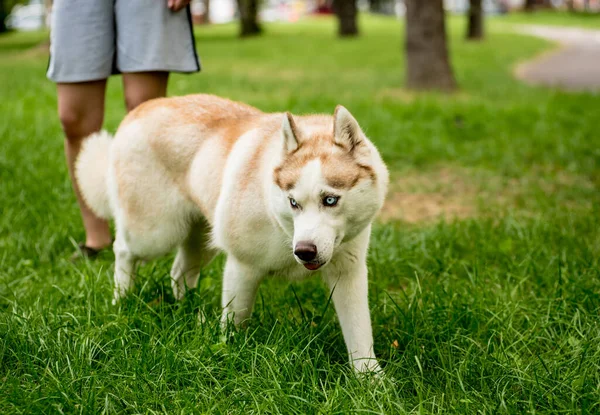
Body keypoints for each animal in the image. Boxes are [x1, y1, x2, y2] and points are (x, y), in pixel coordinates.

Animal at [77, 95, 390, 374]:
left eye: (330, 200)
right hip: (155, 233)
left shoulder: (348, 272)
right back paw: (122, 299)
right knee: (123, 250)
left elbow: (360, 331)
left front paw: (370, 379)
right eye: (293, 202)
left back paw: (187, 307)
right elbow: (235, 321)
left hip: (201, 239)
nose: (303, 251)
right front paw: (230, 354)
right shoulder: (243, 267)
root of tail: (139, 110)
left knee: (179, 271)